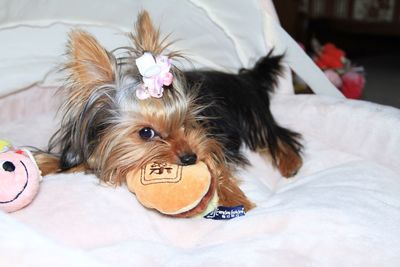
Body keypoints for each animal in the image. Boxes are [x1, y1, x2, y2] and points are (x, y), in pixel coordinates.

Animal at [35, 11, 304, 216]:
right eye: (146, 133)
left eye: (186, 123)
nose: (190, 157)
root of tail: (244, 77)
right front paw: (42, 163)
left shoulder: (210, 141)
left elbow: (218, 167)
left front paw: (235, 199)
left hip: (252, 113)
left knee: (278, 135)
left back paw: (290, 164)